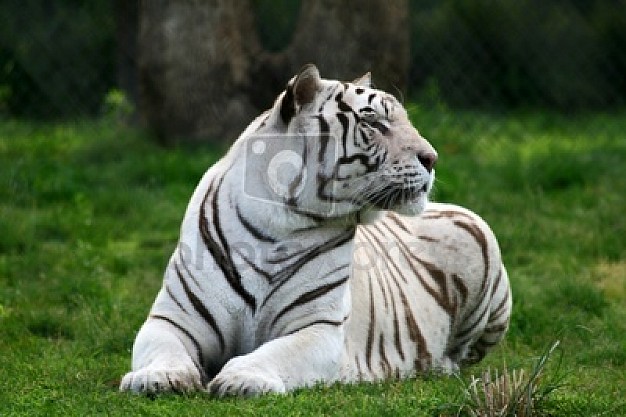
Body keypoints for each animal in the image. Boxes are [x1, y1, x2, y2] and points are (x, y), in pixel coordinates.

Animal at [119, 63, 510, 394]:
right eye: (373, 123)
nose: (432, 158)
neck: (277, 226)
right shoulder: (173, 318)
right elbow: (163, 348)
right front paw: (158, 377)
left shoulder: (319, 328)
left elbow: (276, 353)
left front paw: (243, 379)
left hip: (484, 248)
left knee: (462, 354)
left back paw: (436, 365)